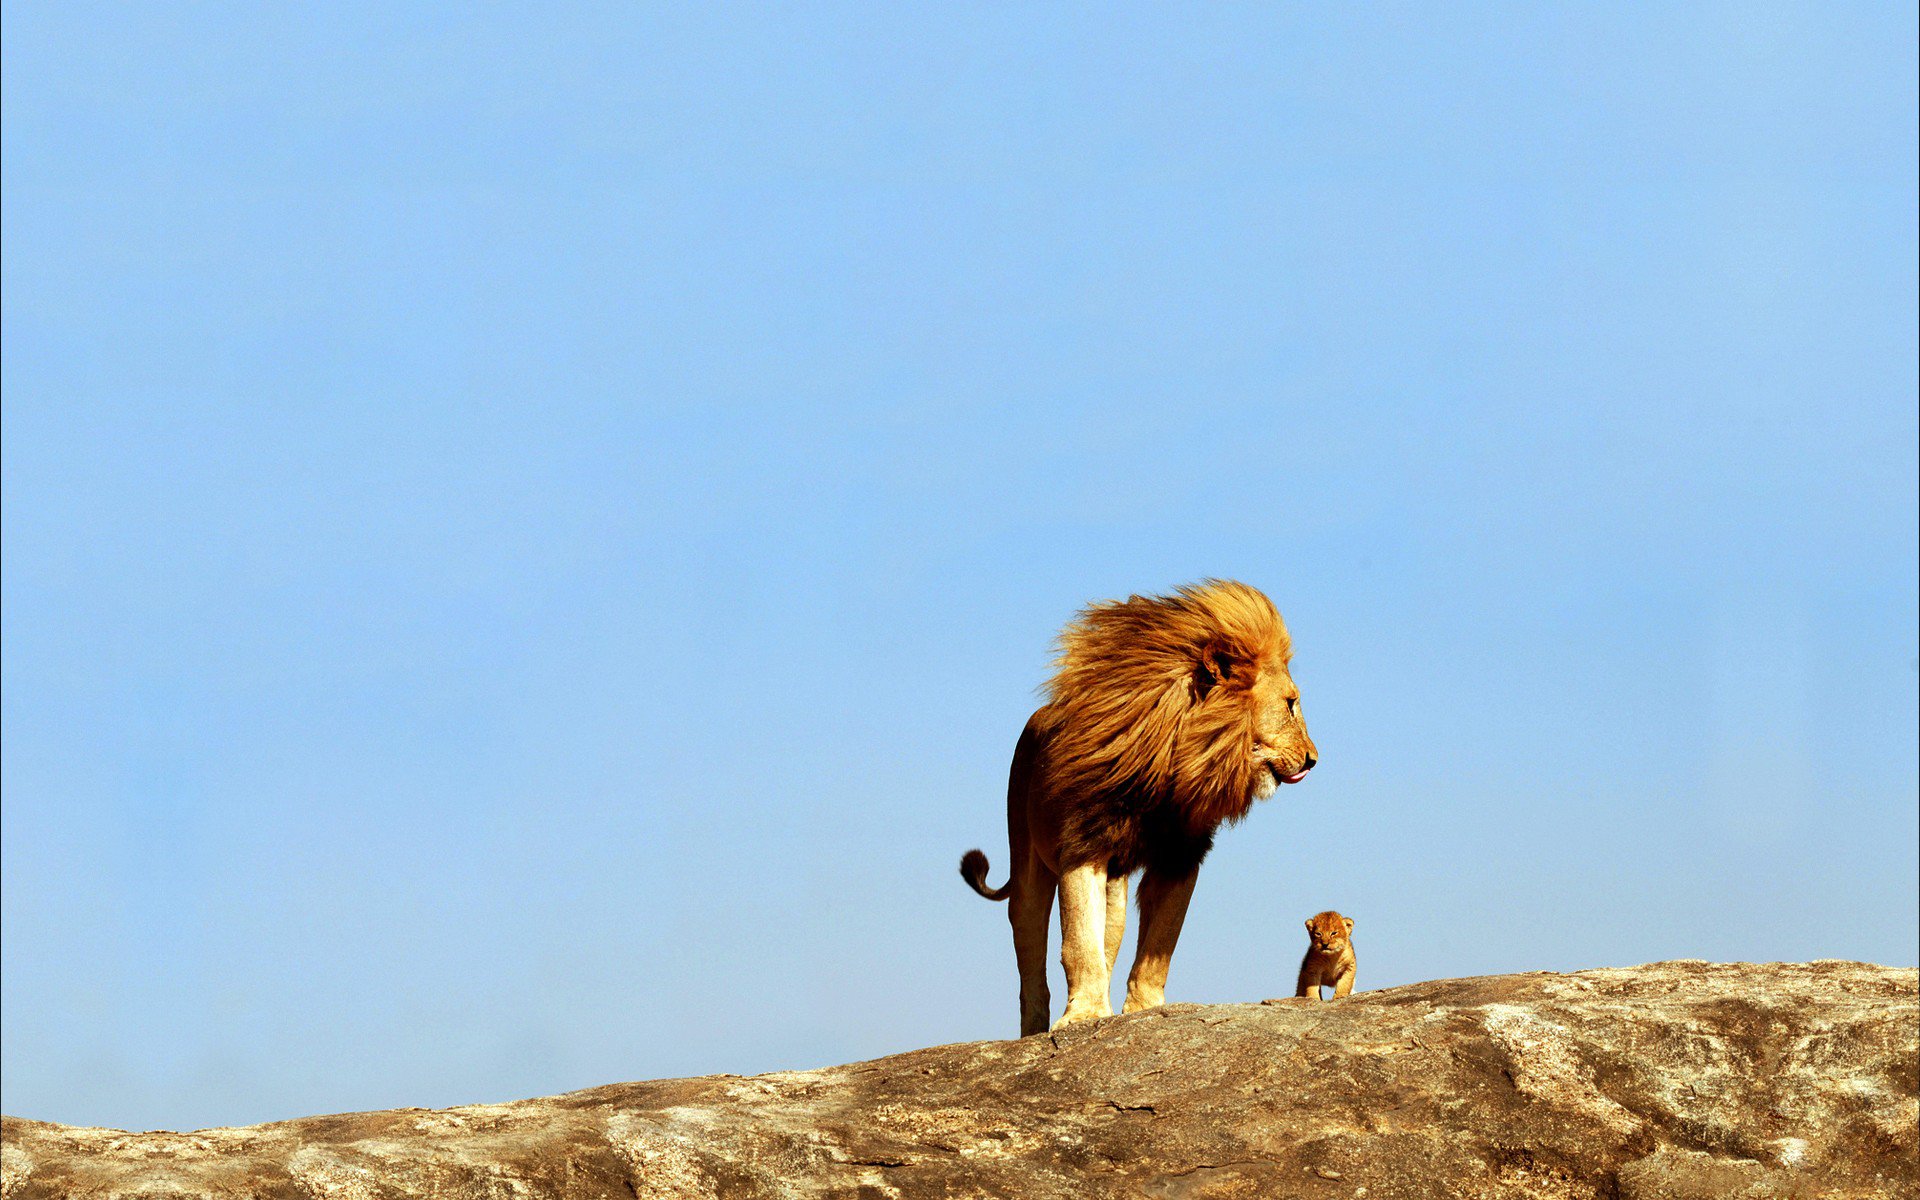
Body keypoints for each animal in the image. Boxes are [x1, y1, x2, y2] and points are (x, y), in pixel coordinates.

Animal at [960, 580, 1316, 1035]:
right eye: (1290, 704)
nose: (1313, 759)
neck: (1172, 763)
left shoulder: (1180, 856)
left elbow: (1159, 946)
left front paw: (1142, 1010)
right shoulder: (1083, 845)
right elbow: (1078, 942)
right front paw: (1084, 1016)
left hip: (1116, 892)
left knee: (1108, 940)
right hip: (1027, 866)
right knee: (1031, 956)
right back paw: (1035, 1029)